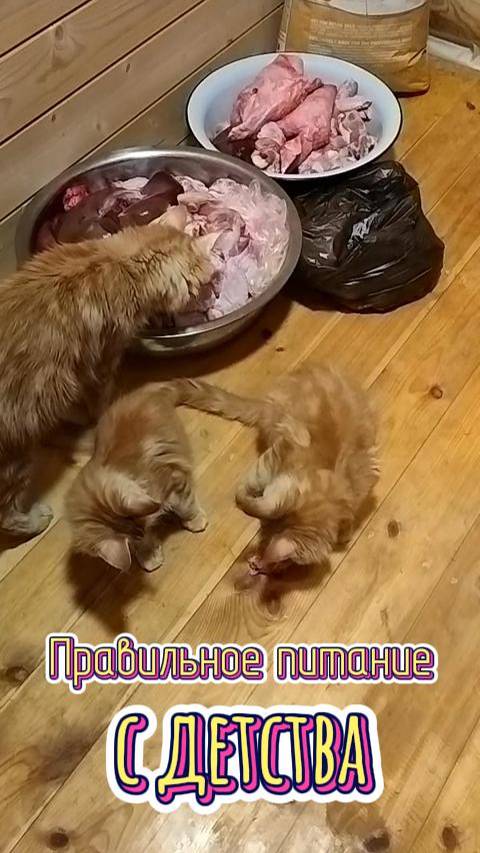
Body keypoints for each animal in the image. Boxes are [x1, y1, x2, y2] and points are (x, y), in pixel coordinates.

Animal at [0, 223, 216, 539]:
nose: (210, 293)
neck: (120, 264)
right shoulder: (101, 361)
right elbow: (99, 404)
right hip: (16, 451)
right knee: (5, 513)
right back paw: (35, 520)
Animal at [66, 383, 207, 572]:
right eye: (140, 533)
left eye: (144, 527)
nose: (142, 533)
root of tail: (150, 390)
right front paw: (149, 555)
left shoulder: (173, 479)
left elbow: (186, 505)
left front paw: (195, 520)